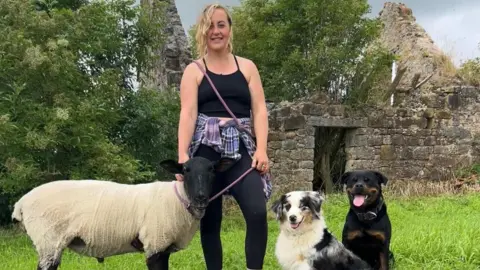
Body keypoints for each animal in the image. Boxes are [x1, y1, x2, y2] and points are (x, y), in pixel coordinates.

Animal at [11, 156, 236, 270]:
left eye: (212, 170)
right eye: (186, 170)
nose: (201, 197)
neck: (178, 200)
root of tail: (21, 203)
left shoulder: (162, 248)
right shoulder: (155, 245)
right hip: (48, 241)